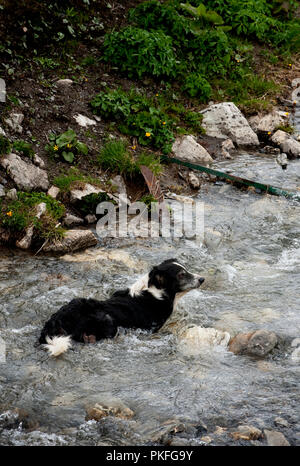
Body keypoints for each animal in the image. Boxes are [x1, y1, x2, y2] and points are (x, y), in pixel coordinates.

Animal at [38, 258, 205, 356]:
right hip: (107, 320)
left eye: (186, 270)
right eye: (181, 274)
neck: (155, 293)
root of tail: (58, 319)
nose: (202, 279)